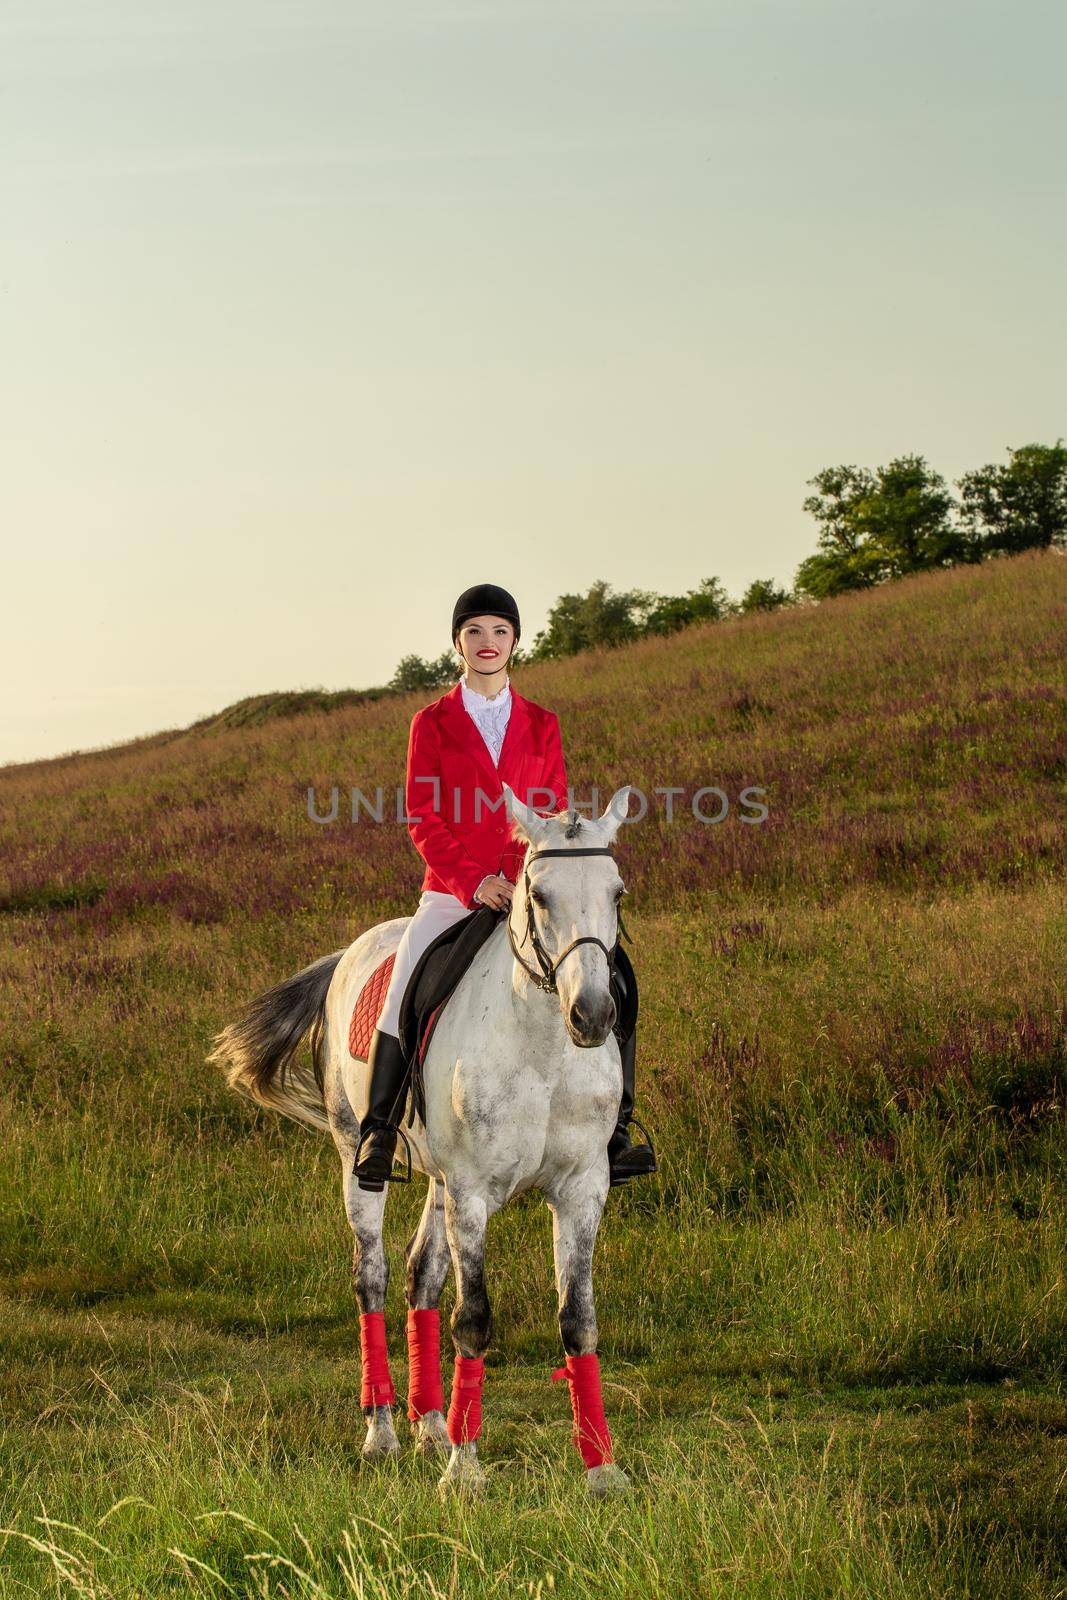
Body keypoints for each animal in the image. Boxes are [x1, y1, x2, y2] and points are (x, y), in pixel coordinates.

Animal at [212, 787, 639, 1497]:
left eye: (617, 892)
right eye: (539, 894)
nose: (593, 1016)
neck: (544, 1051)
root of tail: (351, 953)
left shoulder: (582, 1191)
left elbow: (578, 1321)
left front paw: (602, 1471)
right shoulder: (473, 1192)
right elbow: (475, 1320)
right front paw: (465, 1474)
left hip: (440, 1182)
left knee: (422, 1275)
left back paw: (433, 1425)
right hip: (363, 1160)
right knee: (374, 1278)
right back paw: (383, 1432)